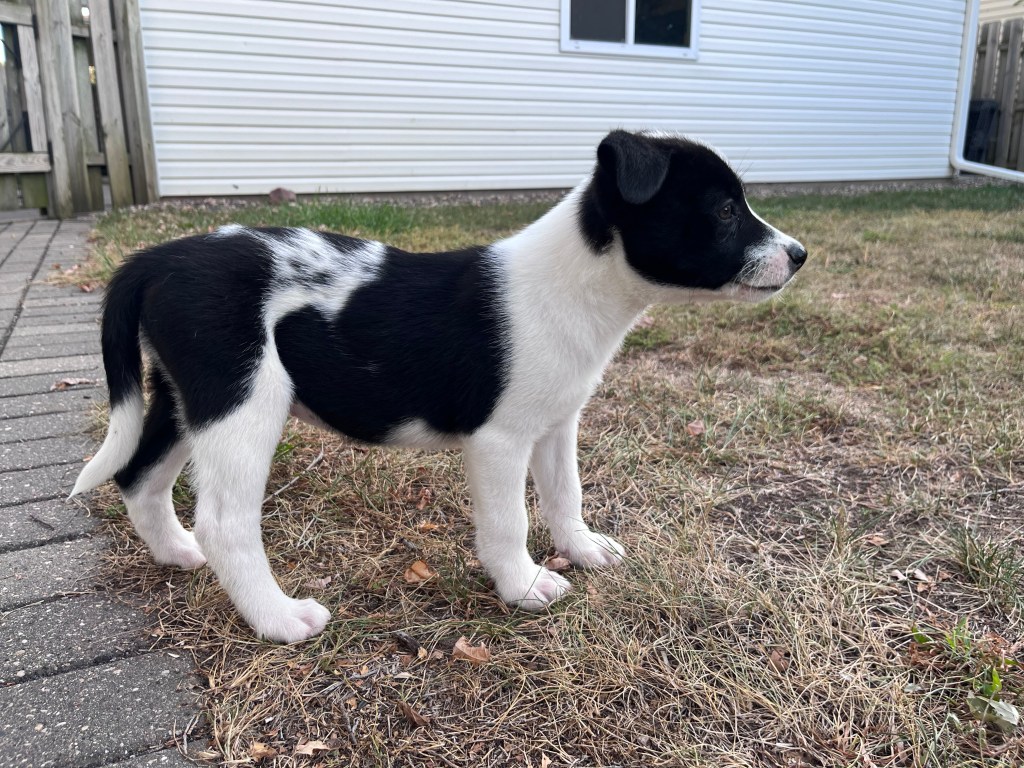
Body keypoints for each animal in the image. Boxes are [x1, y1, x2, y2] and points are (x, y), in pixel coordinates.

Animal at [71, 130, 806, 643]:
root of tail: (154, 260)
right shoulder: (500, 441)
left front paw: (582, 549)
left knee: (138, 477)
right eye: (724, 209)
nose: (799, 255)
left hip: (180, 396)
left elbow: (565, 494)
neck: (580, 286)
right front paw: (524, 586)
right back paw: (279, 619)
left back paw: (178, 556)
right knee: (225, 521)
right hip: (243, 399)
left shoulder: (557, 422)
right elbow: (509, 522)